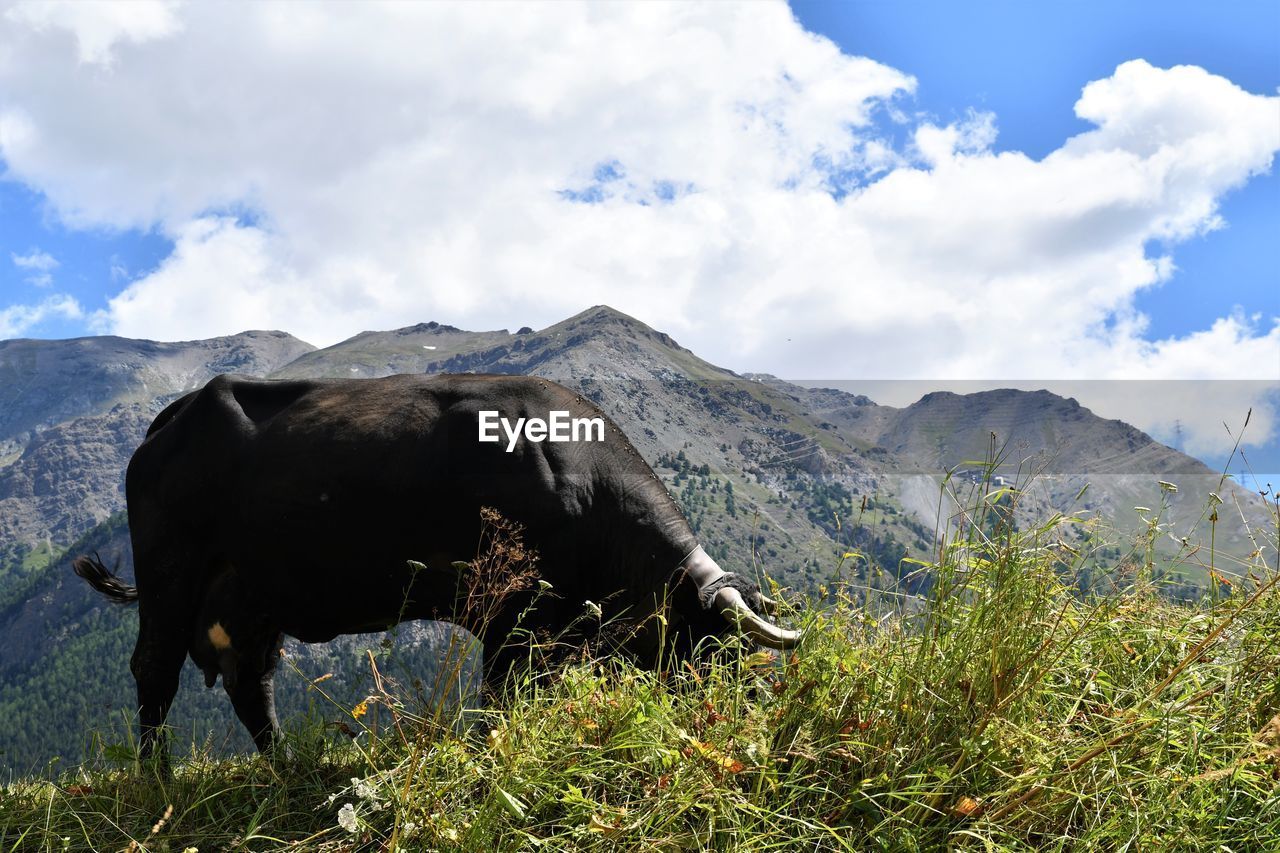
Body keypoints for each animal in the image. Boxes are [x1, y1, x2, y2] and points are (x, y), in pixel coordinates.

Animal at [72, 371, 798, 758]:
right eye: (724, 649)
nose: (753, 714)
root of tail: (177, 413)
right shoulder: (513, 617)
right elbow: (501, 700)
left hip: (250, 597)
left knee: (252, 685)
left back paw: (287, 765)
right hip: (172, 575)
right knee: (155, 672)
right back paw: (156, 775)